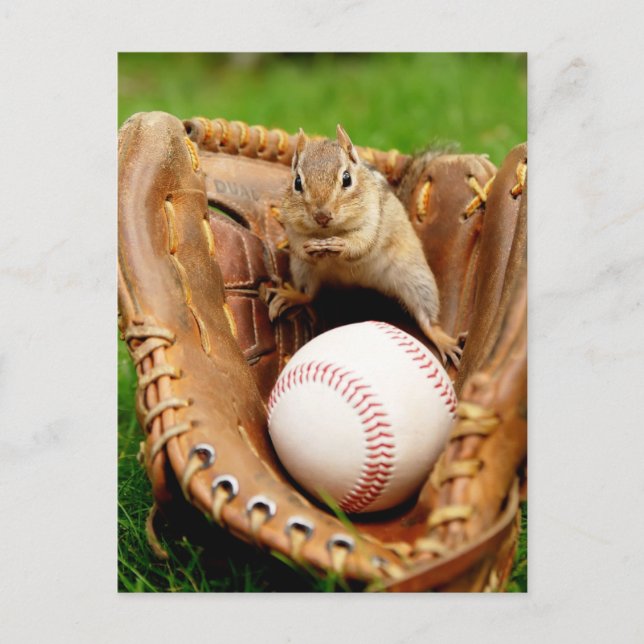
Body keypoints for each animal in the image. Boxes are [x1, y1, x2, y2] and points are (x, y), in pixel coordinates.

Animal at [267, 124, 465, 367]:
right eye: (297, 182)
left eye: (346, 178)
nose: (322, 215)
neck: (328, 231)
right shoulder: (292, 226)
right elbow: (297, 242)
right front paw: (307, 247)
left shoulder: (372, 217)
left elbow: (362, 242)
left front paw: (341, 245)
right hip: (303, 271)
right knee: (308, 294)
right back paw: (289, 296)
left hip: (417, 279)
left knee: (426, 317)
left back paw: (442, 339)